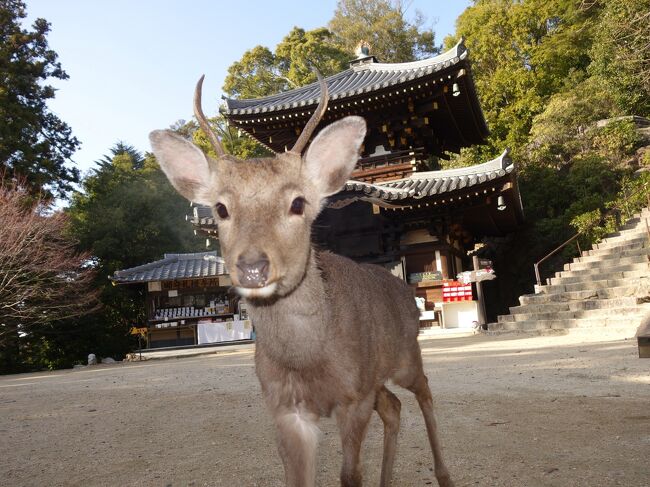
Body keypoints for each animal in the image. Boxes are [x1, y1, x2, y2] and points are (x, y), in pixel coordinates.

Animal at [149, 69, 454, 487]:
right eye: (221, 208)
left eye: (298, 203)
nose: (253, 266)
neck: (307, 359)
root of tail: (405, 292)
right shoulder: (285, 408)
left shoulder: (353, 397)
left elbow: (349, 476)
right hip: (376, 379)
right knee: (393, 406)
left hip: (406, 354)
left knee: (424, 393)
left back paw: (445, 475)